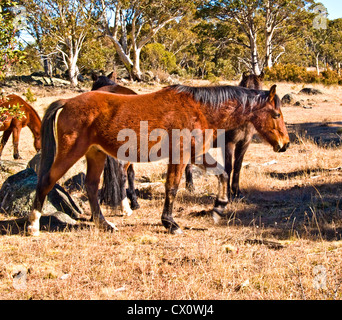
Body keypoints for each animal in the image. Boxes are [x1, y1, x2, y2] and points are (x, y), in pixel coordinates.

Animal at [186, 72, 266, 200]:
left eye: (259, 90)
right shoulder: (229, 144)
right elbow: (228, 167)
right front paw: (227, 193)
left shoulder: (244, 143)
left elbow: (237, 166)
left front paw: (237, 192)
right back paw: (190, 187)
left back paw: (190, 188)